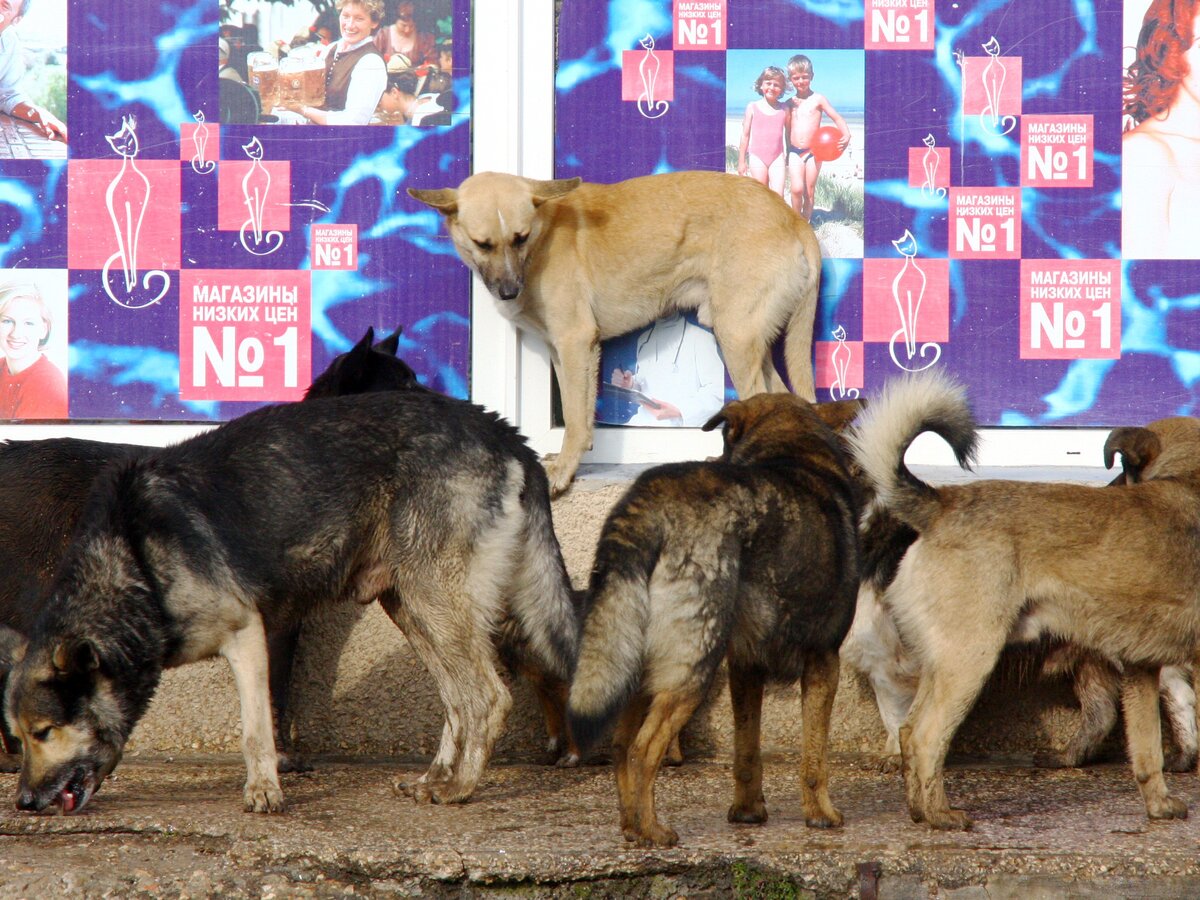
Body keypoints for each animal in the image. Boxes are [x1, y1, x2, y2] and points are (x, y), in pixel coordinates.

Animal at [412, 172, 825, 496]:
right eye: (483, 244)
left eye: (521, 237)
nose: (510, 291)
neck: (544, 235)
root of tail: (793, 217)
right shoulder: (565, 351)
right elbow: (579, 411)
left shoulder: (576, 341)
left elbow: (576, 419)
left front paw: (563, 471)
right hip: (749, 340)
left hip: (736, 339)